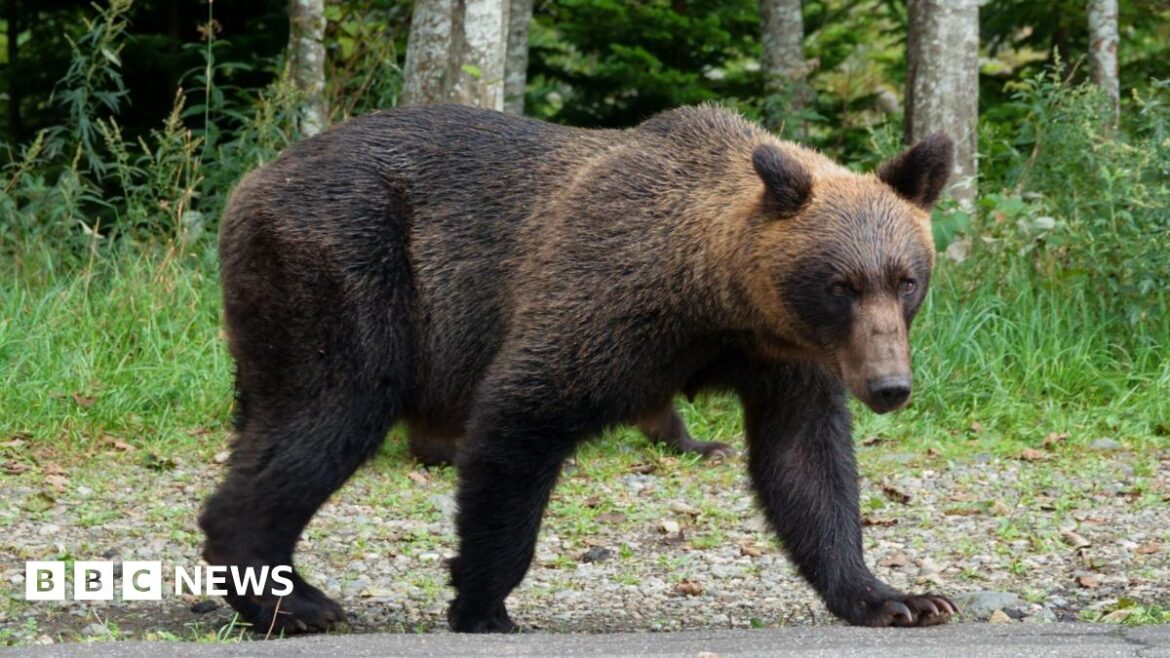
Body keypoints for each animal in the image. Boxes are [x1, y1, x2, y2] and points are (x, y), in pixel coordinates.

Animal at [200, 103, 956, 634]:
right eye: (841, 284)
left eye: (906, 279)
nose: (889, 386)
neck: (715, 295)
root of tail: (251, 182)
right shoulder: (607, 296)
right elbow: (523, 413)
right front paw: (482, 601)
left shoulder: (783, 357)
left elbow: (805, 464)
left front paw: (898, 597)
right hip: (348, 267)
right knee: (329, 410)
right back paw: (294, 602)